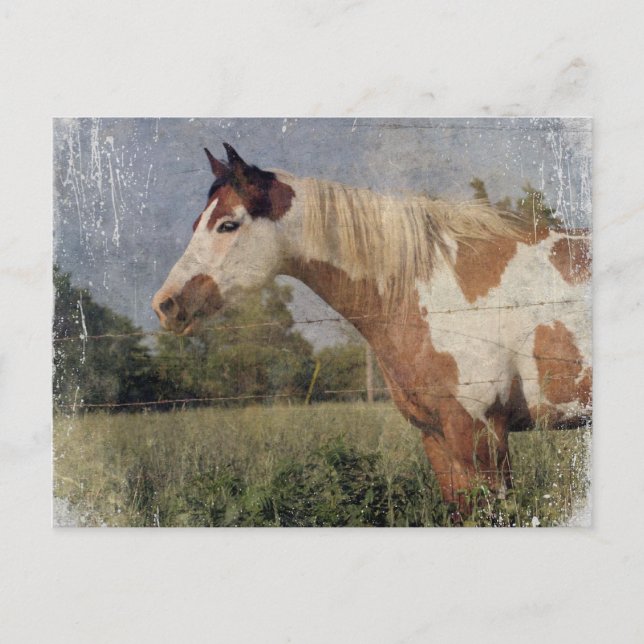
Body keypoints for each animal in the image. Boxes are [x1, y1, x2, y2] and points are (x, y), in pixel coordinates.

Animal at [152, 142, 592, 510]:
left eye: (227, 224)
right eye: (197, 223)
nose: (166, 304)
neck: (432, 286)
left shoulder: (481, 433)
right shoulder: (437, 437)